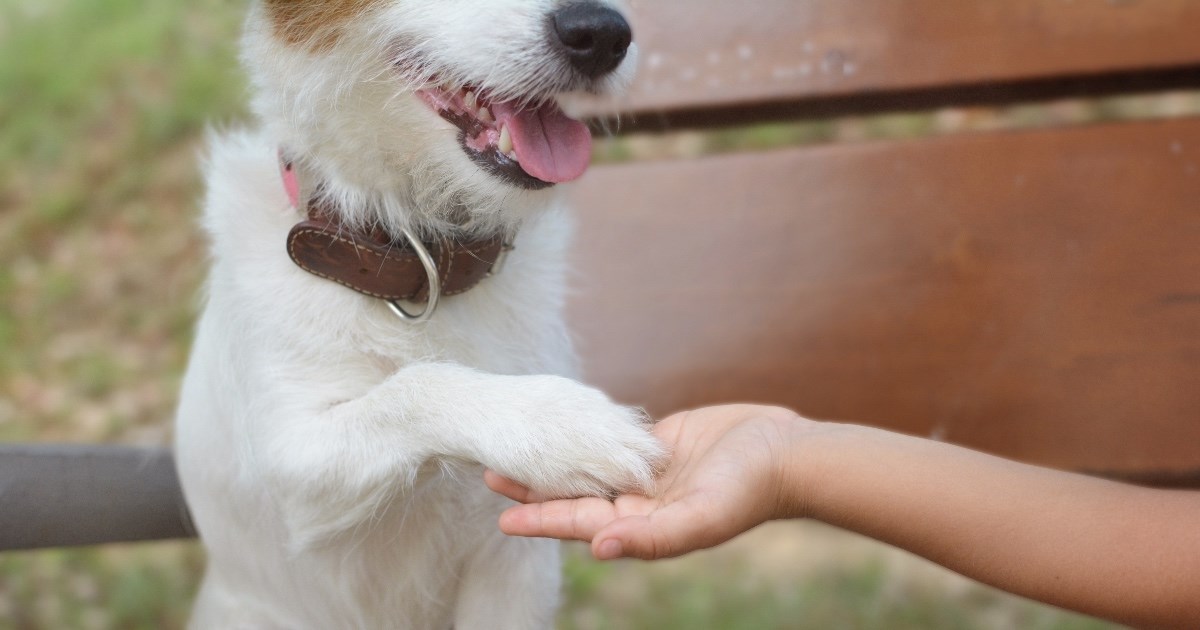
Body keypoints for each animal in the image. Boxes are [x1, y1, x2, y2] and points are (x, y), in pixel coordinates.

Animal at [175, 2, 667, 624]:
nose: (603, 34)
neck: (416, 255)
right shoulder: (290, 465)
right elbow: (417, 384)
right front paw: (562, 427)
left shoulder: (516, 571)